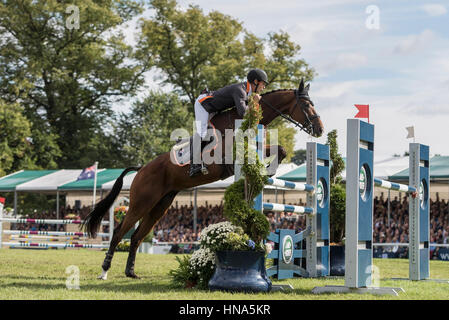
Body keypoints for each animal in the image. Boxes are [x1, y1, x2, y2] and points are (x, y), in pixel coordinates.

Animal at [82, 79, 324, 278]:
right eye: (306, 105)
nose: (320, 130)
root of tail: (141, 169)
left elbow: (280, 149)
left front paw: (268, 172)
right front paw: (265, 172)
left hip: (160, 205)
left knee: (136, 237)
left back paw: (131, 272)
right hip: (141, 203)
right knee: (119, 233)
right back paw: (104, 271)